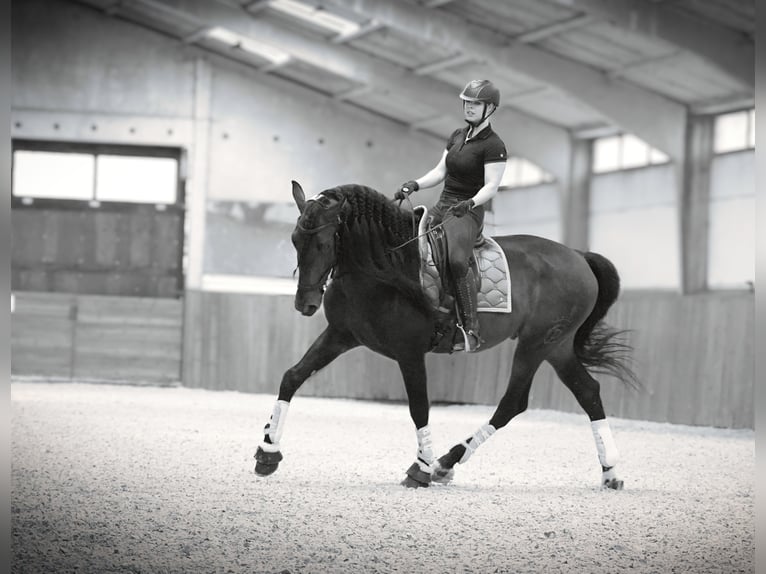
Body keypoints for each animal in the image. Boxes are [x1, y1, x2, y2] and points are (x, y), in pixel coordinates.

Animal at [255, 183, 640, 490]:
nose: (305, 304)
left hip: (537, 343)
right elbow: (292, 377)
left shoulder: (409, 352)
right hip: (557, 347)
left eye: (323, 243)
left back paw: (443, 463)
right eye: (294, 240)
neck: (380, 268)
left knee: (513, 402)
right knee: (588, 392)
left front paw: (421, 468)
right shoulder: (340, 335)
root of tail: (579, 256)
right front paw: (267, 452)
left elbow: (419, 407)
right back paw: (610, 472)